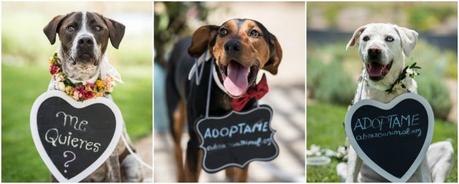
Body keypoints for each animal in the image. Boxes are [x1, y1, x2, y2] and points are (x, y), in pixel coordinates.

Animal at [43, 11, 144, 183]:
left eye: (98, 28)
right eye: (70, 27)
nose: (85, 40)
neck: (80, 84)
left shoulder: (110, 151)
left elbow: (114, 175)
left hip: (132, 164)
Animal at [165, 18, 280, 182]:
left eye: (254, 33)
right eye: (223, 31)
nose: (232, 46)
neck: (230, 99)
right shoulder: (194, 144)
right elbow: (191, 172)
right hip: (175, 115)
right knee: (177, 149)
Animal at [338, 23, 456, 183]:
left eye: (389, 38)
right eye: (366, 38)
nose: (373, 50)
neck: (385, 89)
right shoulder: (355, 142)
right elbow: (351, 173)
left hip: (446, 148)